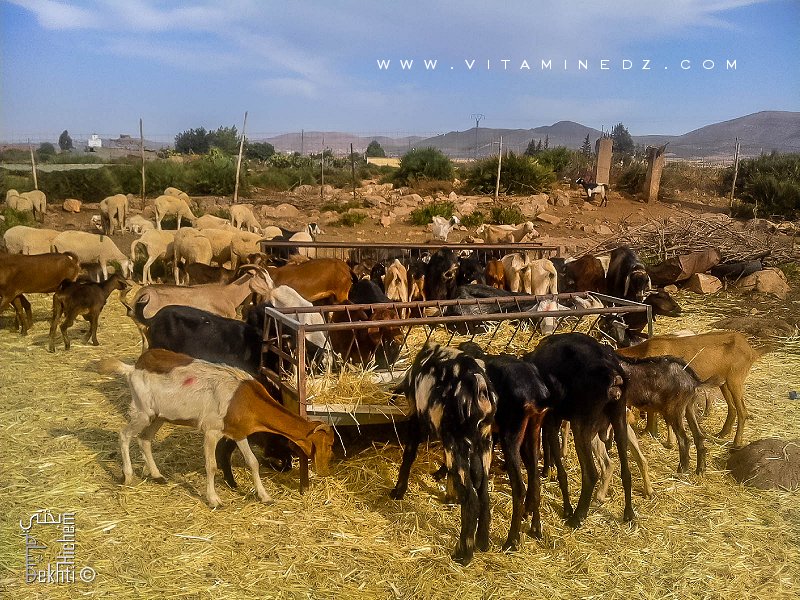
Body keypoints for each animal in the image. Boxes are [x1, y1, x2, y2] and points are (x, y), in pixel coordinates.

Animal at [98, 349, 335, 507]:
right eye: (330, 444)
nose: (324, 471)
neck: (245, 398)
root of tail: (133, 368)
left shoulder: (239, 432)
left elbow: (253, 463)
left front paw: (265, 497)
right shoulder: (211, 431)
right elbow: (211, 465)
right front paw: (214, 500)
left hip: (159, 416)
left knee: (144, 439)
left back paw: (157, 475)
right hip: (143, 411)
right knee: (124, 435)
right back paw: (127, 476)